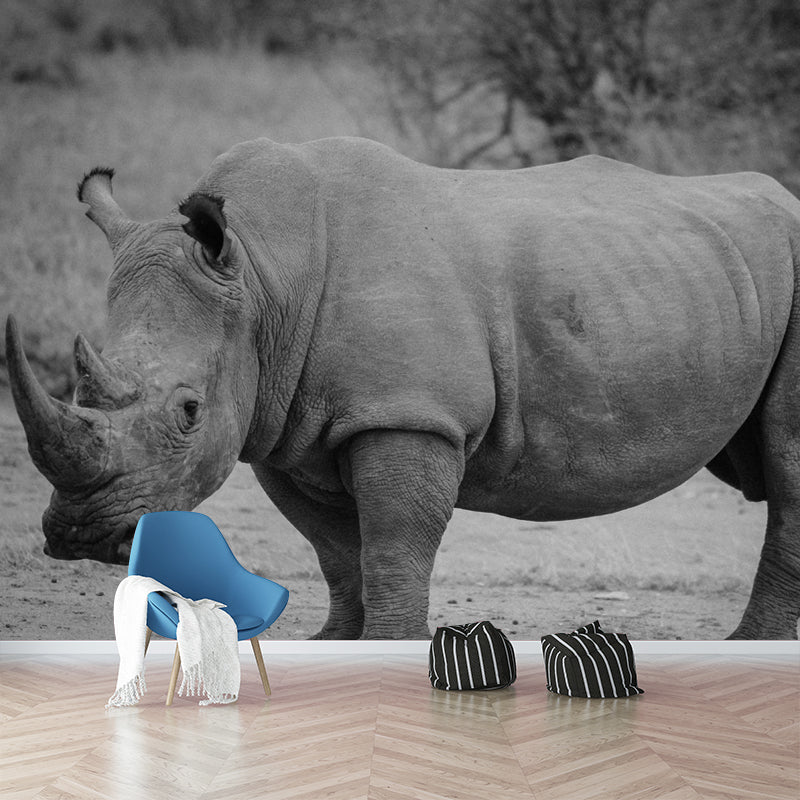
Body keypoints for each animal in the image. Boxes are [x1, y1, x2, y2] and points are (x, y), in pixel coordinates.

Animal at [6, 136, 800, 639]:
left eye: (188, 412)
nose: (81, 535)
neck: (263, 276)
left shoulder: (408, 415)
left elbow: (393, 542)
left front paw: (391, 643)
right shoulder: (285, 426)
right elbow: (335, 550)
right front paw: (334, 645)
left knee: (786, 465)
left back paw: (748, 648)